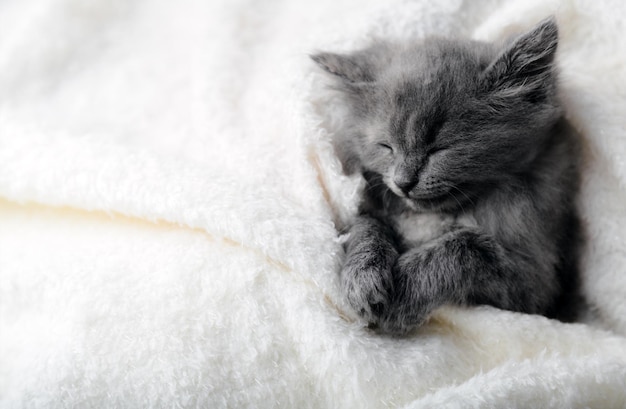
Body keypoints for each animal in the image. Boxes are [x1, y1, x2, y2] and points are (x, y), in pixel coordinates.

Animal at [312, 17, 580, 334]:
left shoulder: (537, 284)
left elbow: (467, 245)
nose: (403, 182)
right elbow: (366, 224)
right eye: (386, 146)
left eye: (439, 149)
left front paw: (401, 292)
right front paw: (363, 277)